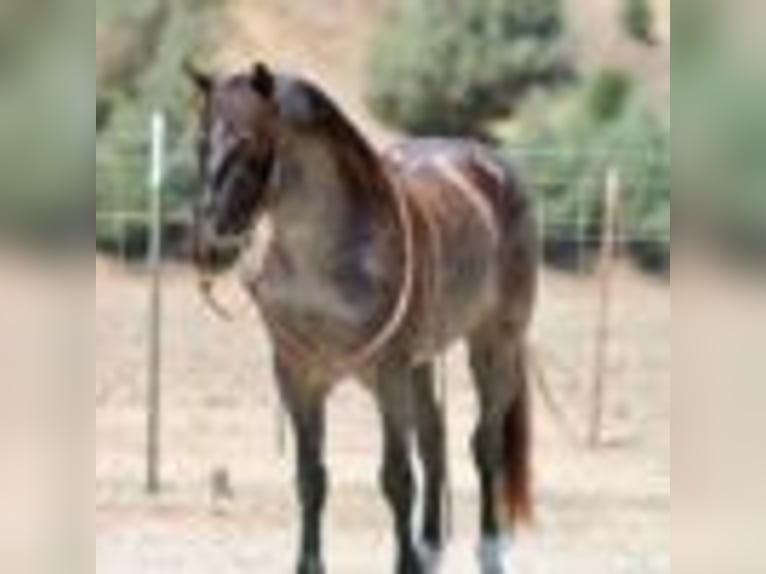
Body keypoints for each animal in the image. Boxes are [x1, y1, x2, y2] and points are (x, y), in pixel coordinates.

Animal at [188, 63, 540, 574]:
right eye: (199, 143)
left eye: (249, 144)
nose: (209, 248)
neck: (325, 261)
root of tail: (493, 167)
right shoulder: (298, 379)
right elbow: (310, 478)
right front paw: (309, 565)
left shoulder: (388, 374)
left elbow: (396, 478)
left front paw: (405, 564)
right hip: (422, 362)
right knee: (434, 438)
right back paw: (430, 546)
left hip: (494, 344)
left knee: (485, 443)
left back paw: (489, 549)